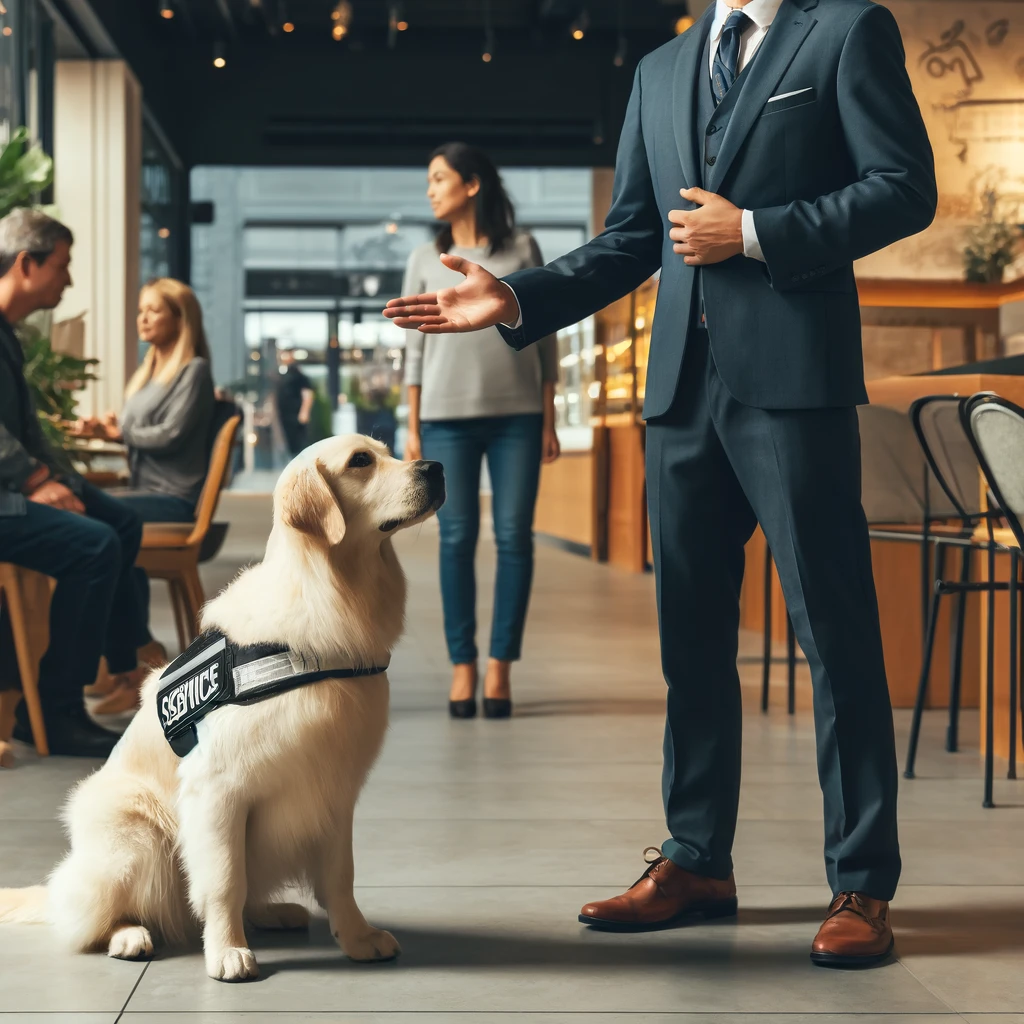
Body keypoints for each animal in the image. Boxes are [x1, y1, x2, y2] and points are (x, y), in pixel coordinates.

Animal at [2, 436, 446, 978]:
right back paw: (129, 935)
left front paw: (358, 937)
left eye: (387, 451)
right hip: (136, 834)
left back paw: (274, 912)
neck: (332, 594)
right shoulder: (218, 790)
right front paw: (227, 951)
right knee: (97, 918)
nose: (436, 468)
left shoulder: (335, 790)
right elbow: (223, 881)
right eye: (360, 461)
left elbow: (341, 876)